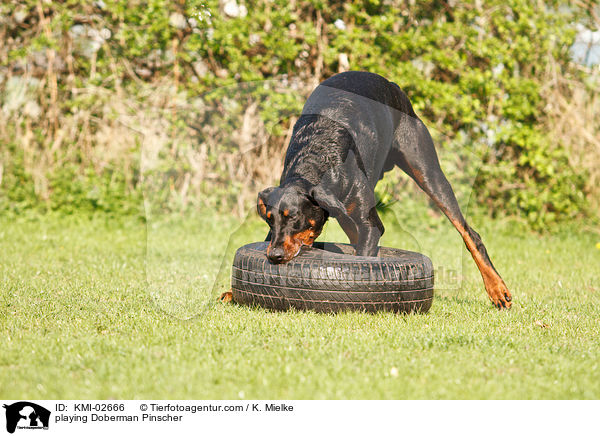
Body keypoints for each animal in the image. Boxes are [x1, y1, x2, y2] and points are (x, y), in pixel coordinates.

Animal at [255, 71, 512, 308]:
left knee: (469, 233)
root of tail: (391, 84)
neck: (315, 162)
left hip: (427, 169)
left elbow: (364, 255)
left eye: (294, 217)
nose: (273, 256)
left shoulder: (369, 226)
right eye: (269, 220)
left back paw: (497, 289)